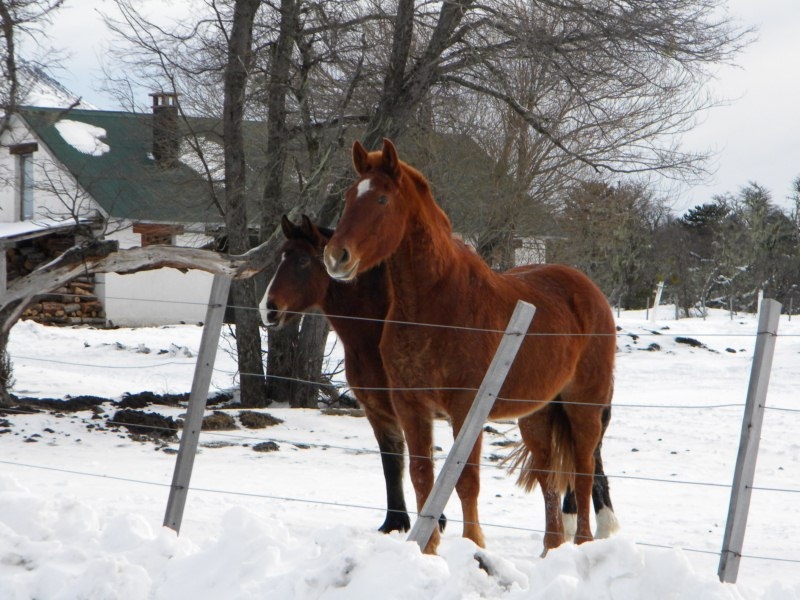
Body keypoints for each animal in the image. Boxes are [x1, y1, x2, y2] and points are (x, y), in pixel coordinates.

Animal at [324, 138, 620, 556]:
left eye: (382, 199)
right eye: (350, 196)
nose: (336, 257)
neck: (435, 305)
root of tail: (591, 292)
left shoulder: (466, 408)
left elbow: (465, 479)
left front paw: (474, 544)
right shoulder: (410, 405)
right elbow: (421, 475)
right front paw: (428, 549)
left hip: (584, 407)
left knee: (582, 472)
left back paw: (581, 545)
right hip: (538, 414)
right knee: (548, 477)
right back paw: (551, 549)